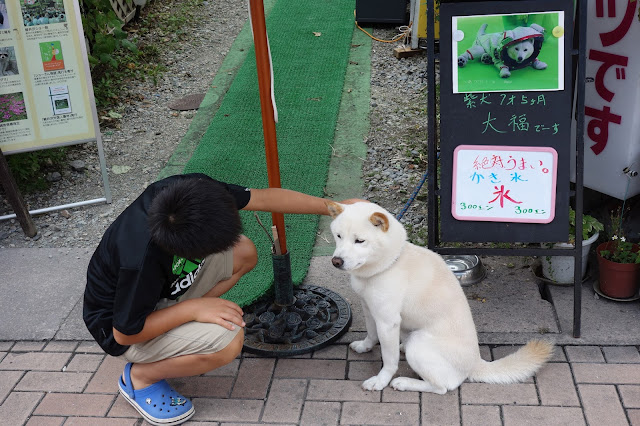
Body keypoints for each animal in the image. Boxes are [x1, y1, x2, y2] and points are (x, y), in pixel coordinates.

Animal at [328, 201, 552, 394]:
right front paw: (365, 346)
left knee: (442, 387)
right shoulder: (370, 309)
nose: (336, 261)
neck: (389, 263)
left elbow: (389, 360)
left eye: (360, 241)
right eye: (338, 236)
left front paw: (381, 381)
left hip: (419, 344)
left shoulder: (388, 321)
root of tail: (475, 362)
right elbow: (372, 335)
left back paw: (405, 382)